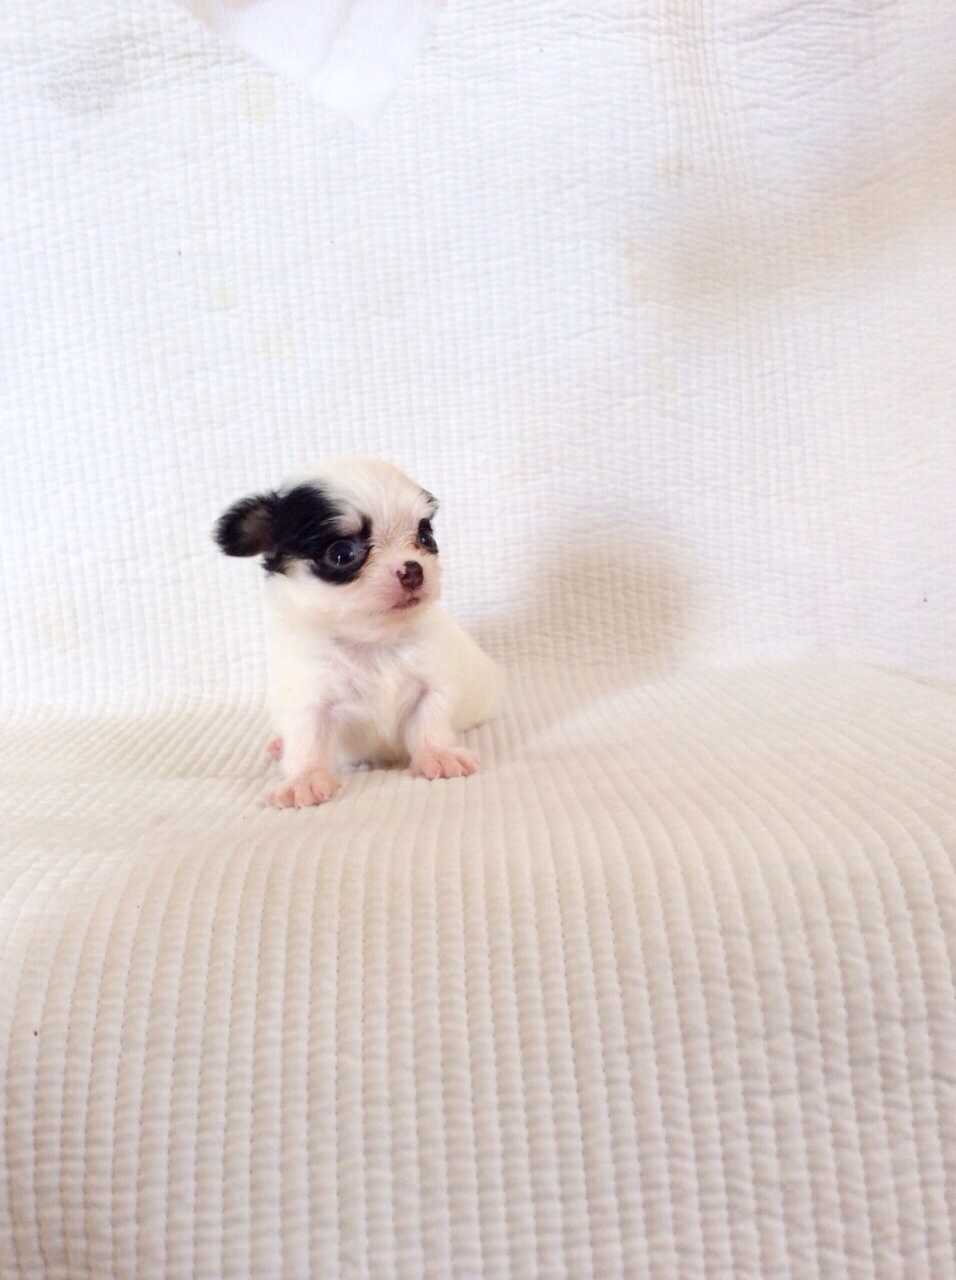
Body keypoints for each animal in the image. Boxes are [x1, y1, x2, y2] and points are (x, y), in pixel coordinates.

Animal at [215, 456, 501, 808]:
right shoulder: (310, 698)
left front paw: (438, 754)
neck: (372, 641)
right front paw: (305, 779)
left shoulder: (433, 685)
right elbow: (308, 739)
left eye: (426, 539)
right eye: (342, 554)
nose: (414, 570)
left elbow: (429, 722)